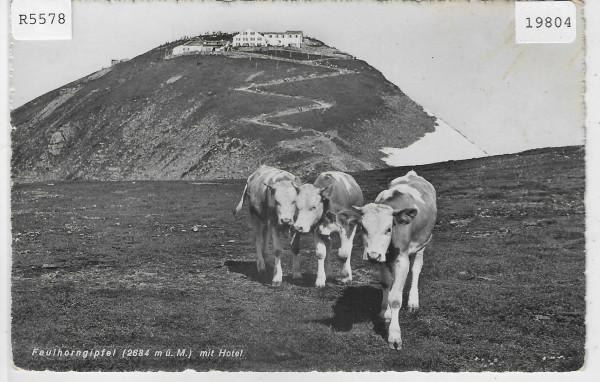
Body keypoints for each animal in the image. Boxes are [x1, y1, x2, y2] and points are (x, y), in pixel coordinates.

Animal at [342, 170, 436, 350]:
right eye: (363, 228)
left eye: (388, 229)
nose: (372, 255)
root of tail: (412, 174)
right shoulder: (382, 259)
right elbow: (386, 284)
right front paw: (385, 312)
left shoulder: (402, 260)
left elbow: (396, 299)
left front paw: (394, 336)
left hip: (423, 242)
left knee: (416, 269)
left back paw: (413, 301)